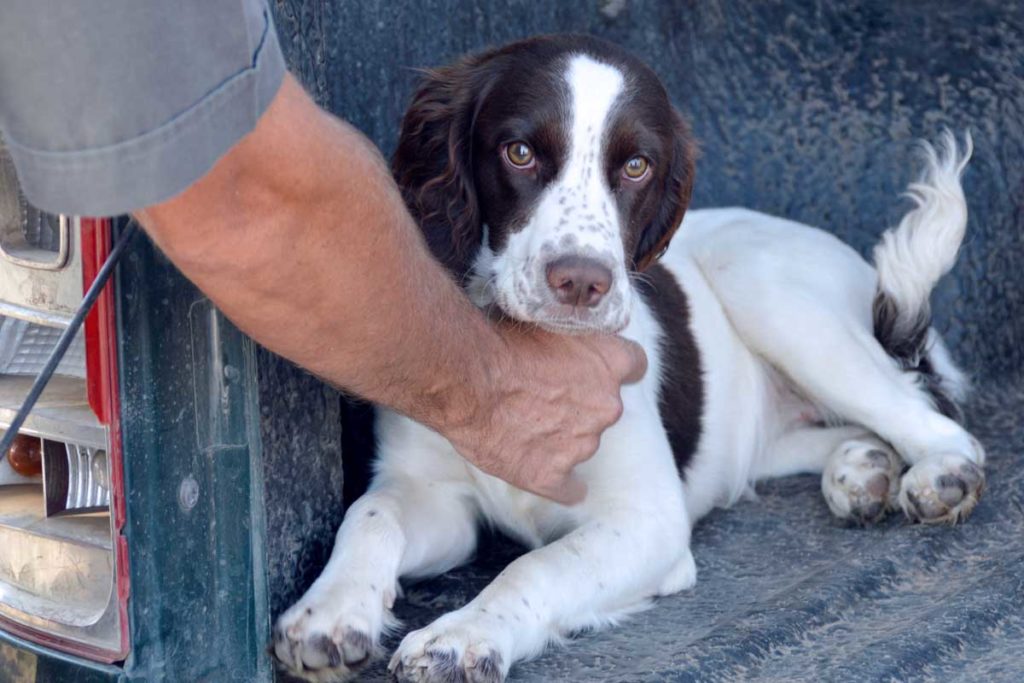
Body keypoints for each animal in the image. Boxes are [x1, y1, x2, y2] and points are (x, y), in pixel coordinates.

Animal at [272, 33, 983, 683]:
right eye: (520, 152)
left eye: (638, 165)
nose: (582, 282)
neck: (528, 360)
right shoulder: (436, 496)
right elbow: (371, 513)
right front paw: (329, 614)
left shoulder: (648, 521)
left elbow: (534, 566)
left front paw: (462, 637)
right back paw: (863, 468)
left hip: (766, 286)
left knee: (937, 420)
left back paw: (940, 475)